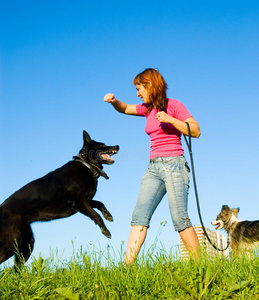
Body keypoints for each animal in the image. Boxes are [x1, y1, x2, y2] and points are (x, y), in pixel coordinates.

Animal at [0, 130, 120, 266]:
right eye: (102, 145)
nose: (117, 146)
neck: (87, 165)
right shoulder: (79, 203)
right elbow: (96, 215)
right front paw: (106, 231)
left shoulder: (86, 201)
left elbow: (100, 203)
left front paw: (108, 215)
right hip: (10, 243)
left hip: (26, 246)